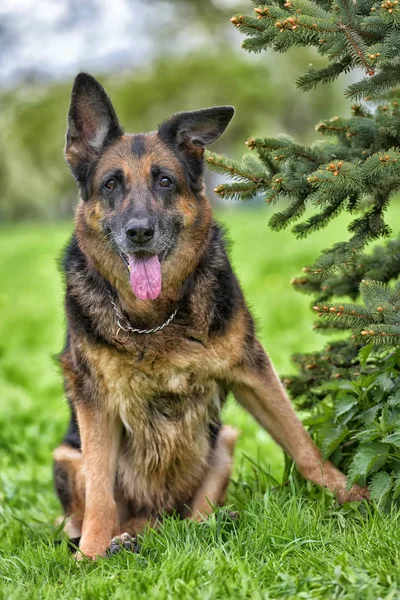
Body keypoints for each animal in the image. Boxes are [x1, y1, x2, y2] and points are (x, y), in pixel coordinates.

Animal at [54, 72, 368, 560]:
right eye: (110, 185)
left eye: (165, 181)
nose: (139, 232)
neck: (156, 318)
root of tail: (157, 520)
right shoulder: (95, 402)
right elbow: (102, 495)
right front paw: (89, 556)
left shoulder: (252, 371)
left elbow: (303, 445)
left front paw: (353, 497)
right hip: (66, 457)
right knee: (105, 510)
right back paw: (120, 541)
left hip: (224, 442)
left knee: (193, 520)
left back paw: (211, 524)